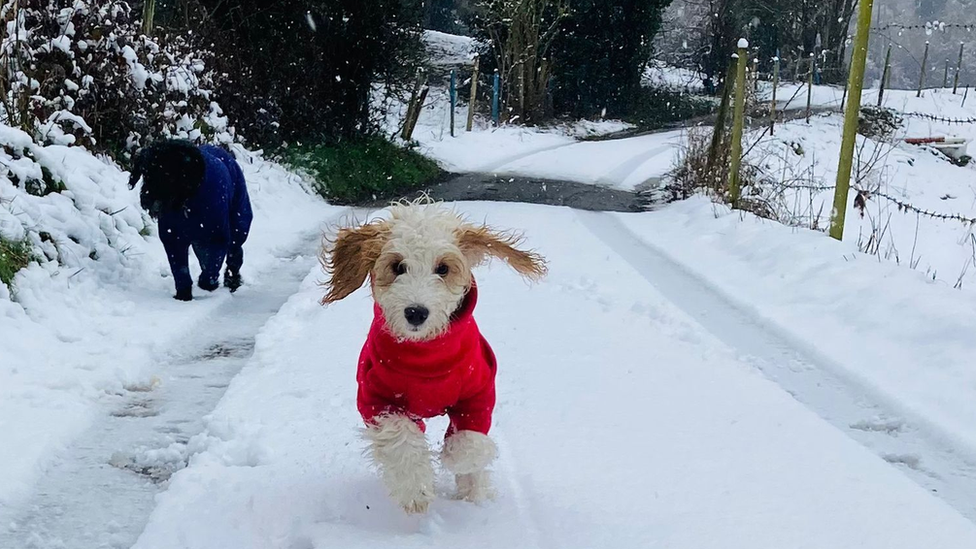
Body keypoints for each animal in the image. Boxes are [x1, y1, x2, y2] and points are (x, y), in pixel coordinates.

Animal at [127, 137, 254, 300]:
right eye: (145, 173)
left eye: (168, 173)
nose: (148, 198)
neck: (186, 202)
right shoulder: (173, 238)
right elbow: (180, 269)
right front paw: (183, 294)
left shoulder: (217, 236)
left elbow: (212, 265)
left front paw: (208, 284)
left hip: (239, 222)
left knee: (235, 251)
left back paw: (232, 280)